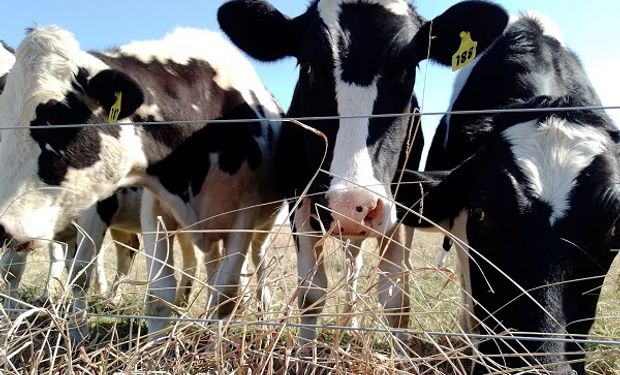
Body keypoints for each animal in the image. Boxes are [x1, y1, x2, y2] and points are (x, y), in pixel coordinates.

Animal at [0, 25, 284, 338]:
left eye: (57, 122)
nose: (2, 225)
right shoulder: (154, 209)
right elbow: (159, 296)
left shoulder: (242, 216)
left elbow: (226, 293)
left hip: (264, 224)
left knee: (255, 261)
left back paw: (260, 311)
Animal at [218, 0, 508, 342]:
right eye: (307, 66)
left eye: (408, 69)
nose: (350, 206)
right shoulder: (300, 198)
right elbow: (311, 293)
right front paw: (305, 350)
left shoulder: (402, 197)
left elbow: (395, 300)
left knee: (353, 265)